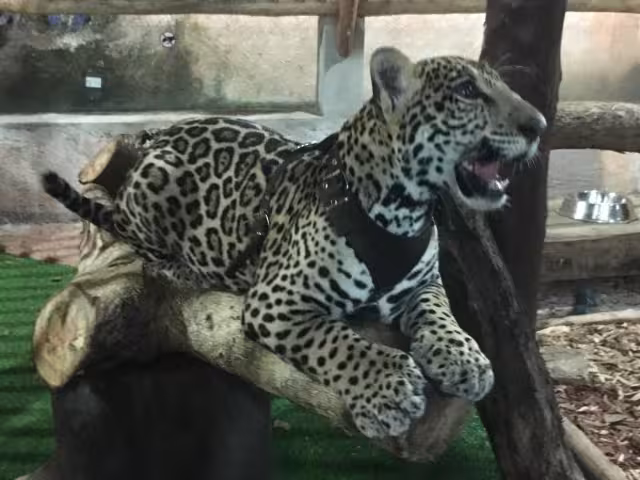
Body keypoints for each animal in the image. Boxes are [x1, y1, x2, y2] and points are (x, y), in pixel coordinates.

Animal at [41, 46, 546, 439]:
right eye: (467, 92)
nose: (538, 124)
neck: (404, 211)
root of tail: (159, 134)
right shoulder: (277, 300)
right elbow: (335, 341)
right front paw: (387, 389)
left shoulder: (426, 285)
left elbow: (442, 315)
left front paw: (465, 358)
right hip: (154, 186)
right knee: (137, 241)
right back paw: (179, 266)